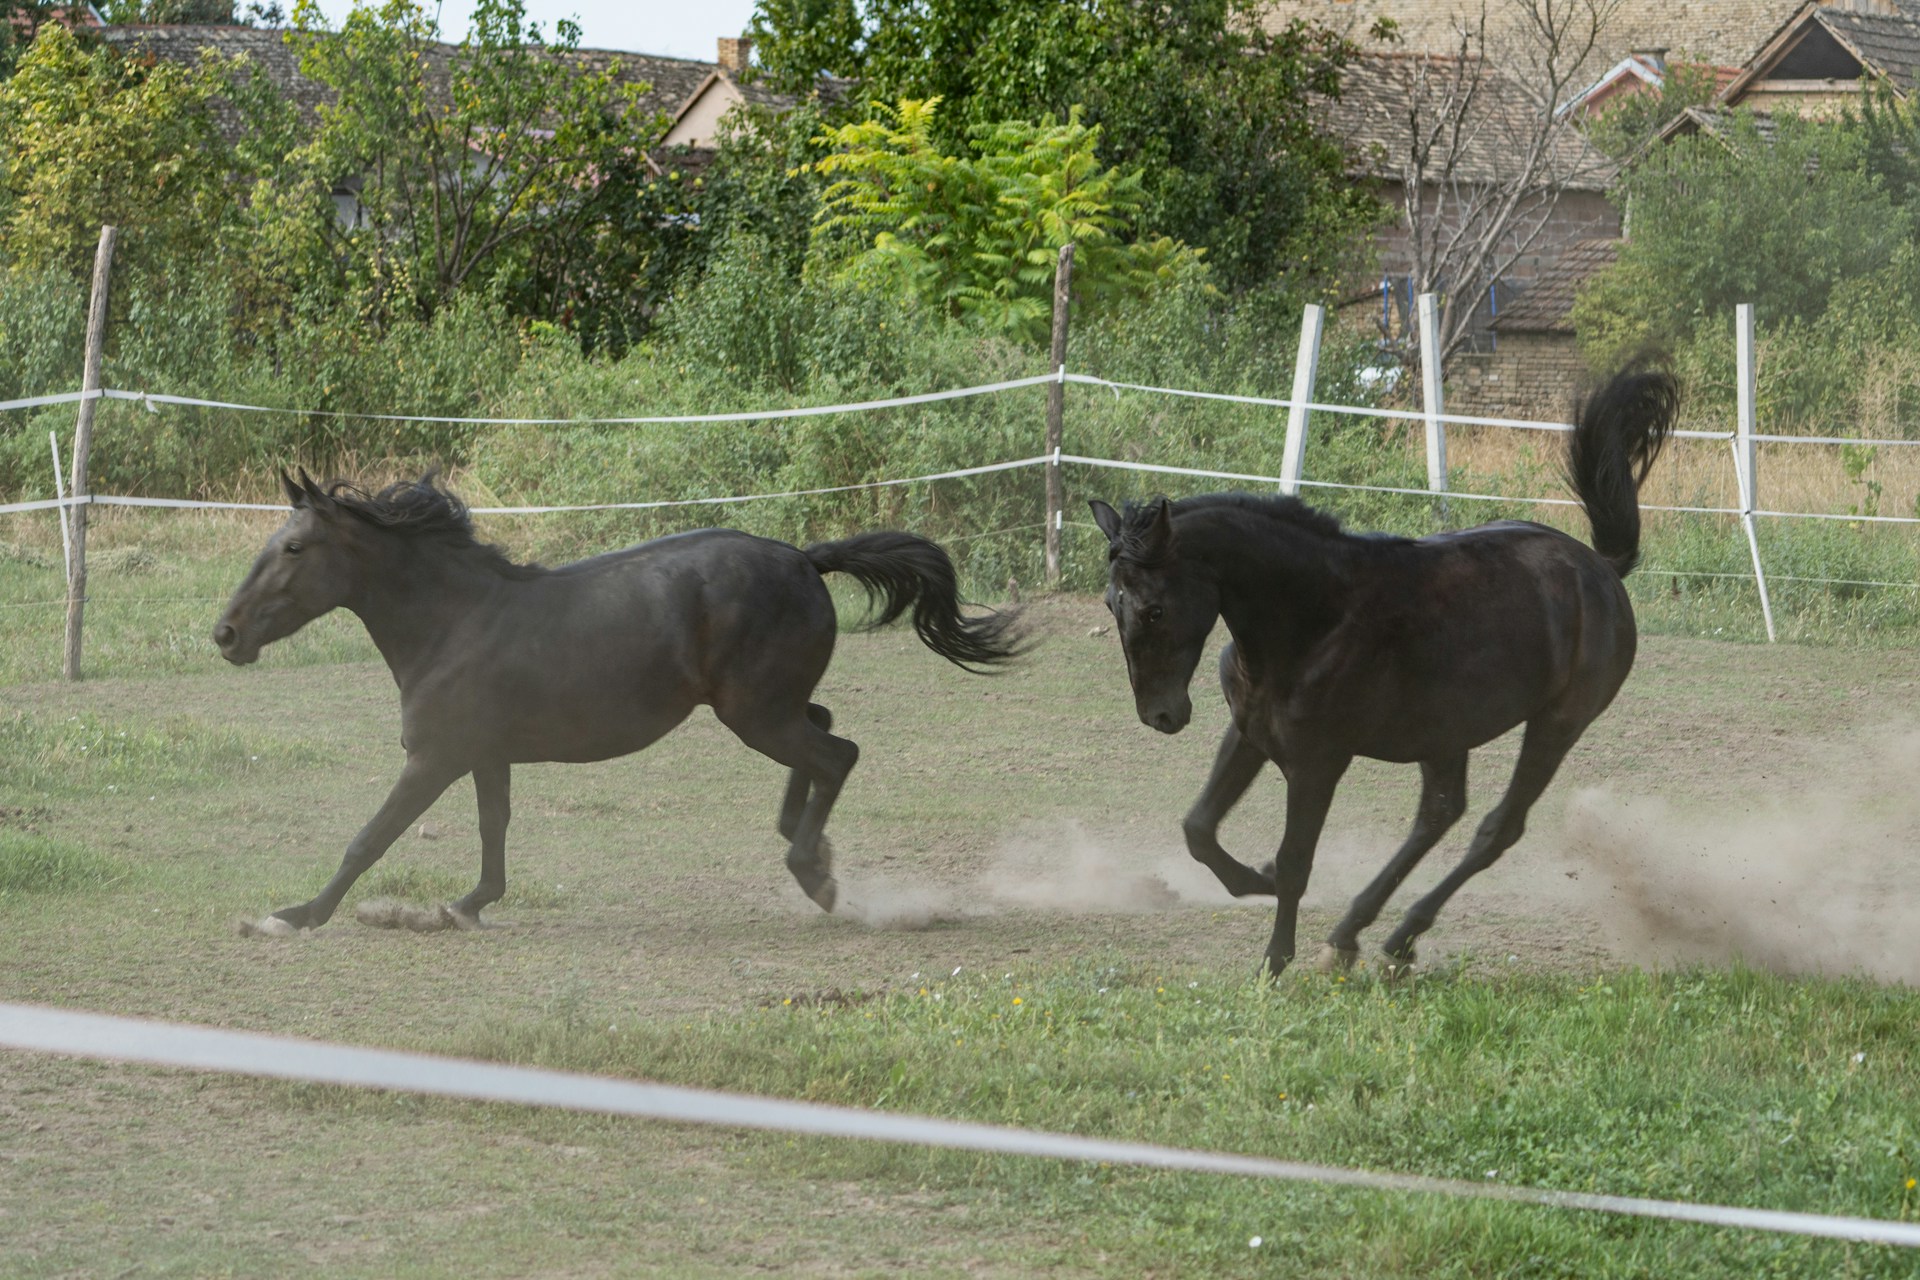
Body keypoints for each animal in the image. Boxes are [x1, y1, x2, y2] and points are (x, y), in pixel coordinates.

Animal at [214, 471, 1022, 935]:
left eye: (293, 549)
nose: (224, 634)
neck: (453, 621)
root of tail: (804, 557)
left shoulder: (435, 758)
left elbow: (369, 838)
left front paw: (294, 916)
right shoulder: (484, 754)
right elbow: (493, 828)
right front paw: (468, 905)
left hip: (754, 713)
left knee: (837, 753)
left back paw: (811, 871)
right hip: (769, 705)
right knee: (823, 738)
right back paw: (811, 849)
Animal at [1089, 362, 1678, 975]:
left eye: (1154, 609)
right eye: (1110, 604)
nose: (1160, 715)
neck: (1313, 617)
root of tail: (1601, 567)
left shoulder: (1318, 762)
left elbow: (1295, 859)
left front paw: (1274, 961)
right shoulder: (1249, 733)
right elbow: (1199, 829)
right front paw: (1258, 880)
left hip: (1558, 723)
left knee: (1496, 828)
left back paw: (1397, 936)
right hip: (1447, 732)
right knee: (1439, 813)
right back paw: (1355, 935)